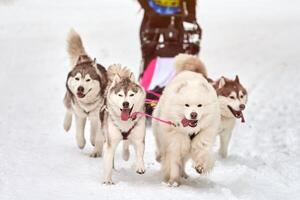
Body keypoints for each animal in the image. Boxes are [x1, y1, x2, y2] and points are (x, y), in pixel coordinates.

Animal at [152, 54, 220, 186]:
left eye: (199, 105)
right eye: (187, 105)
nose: (193, 114)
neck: (189, 131)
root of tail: (189, 71)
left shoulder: (203, 137)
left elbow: (203, 152)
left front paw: (200, 166)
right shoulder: (175, 142)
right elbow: (173, 163)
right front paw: (173, 181)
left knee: (183, 162)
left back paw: (184, 174)